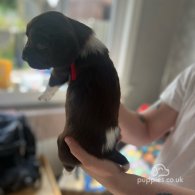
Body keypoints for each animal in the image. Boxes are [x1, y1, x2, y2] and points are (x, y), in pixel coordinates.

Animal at [22, 11, 129, 171]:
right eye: (27, 37)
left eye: (41, 44)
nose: (23, 57)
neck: (81, 39)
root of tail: (107, 150)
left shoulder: (60, 70)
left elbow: (52, 83)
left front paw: (44, 96)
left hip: (63, 143)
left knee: (69, 164)